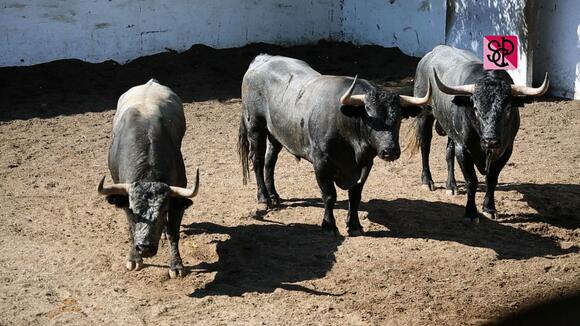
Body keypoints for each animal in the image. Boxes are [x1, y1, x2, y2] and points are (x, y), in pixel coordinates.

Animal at [97, 79, 199, 278]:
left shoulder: (177, 201)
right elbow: (131, 229)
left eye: (163, 210)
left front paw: (176, 266)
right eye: (133, 210)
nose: (144, 247)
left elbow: (173, 232)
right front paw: (134, 259)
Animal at [237, 54, 430, 236]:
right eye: (370, 119)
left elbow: (355, 196)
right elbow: (329, 195)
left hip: (275, 134)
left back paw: (274, 195)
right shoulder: (321, 164)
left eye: (398, 119)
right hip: (255, 128)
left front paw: (354, 225)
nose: (390, 151)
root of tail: (262, 59)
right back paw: (264, 198)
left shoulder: (365, 164)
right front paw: (329, 226)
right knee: (257, 160)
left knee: (270, 161)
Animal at [410, 45, 548, 223]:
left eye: (508, 108)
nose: (491, 141)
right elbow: (472, 181)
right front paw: (470, 213)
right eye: (475, 108)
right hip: (424, 114)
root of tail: (433, 52)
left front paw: (489, 208)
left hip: (451, 130)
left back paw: (451, 185)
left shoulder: (506, 150)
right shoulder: (463, 148)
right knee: (425, 146)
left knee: (448, 153)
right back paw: (427, 181)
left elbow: (491, 179)